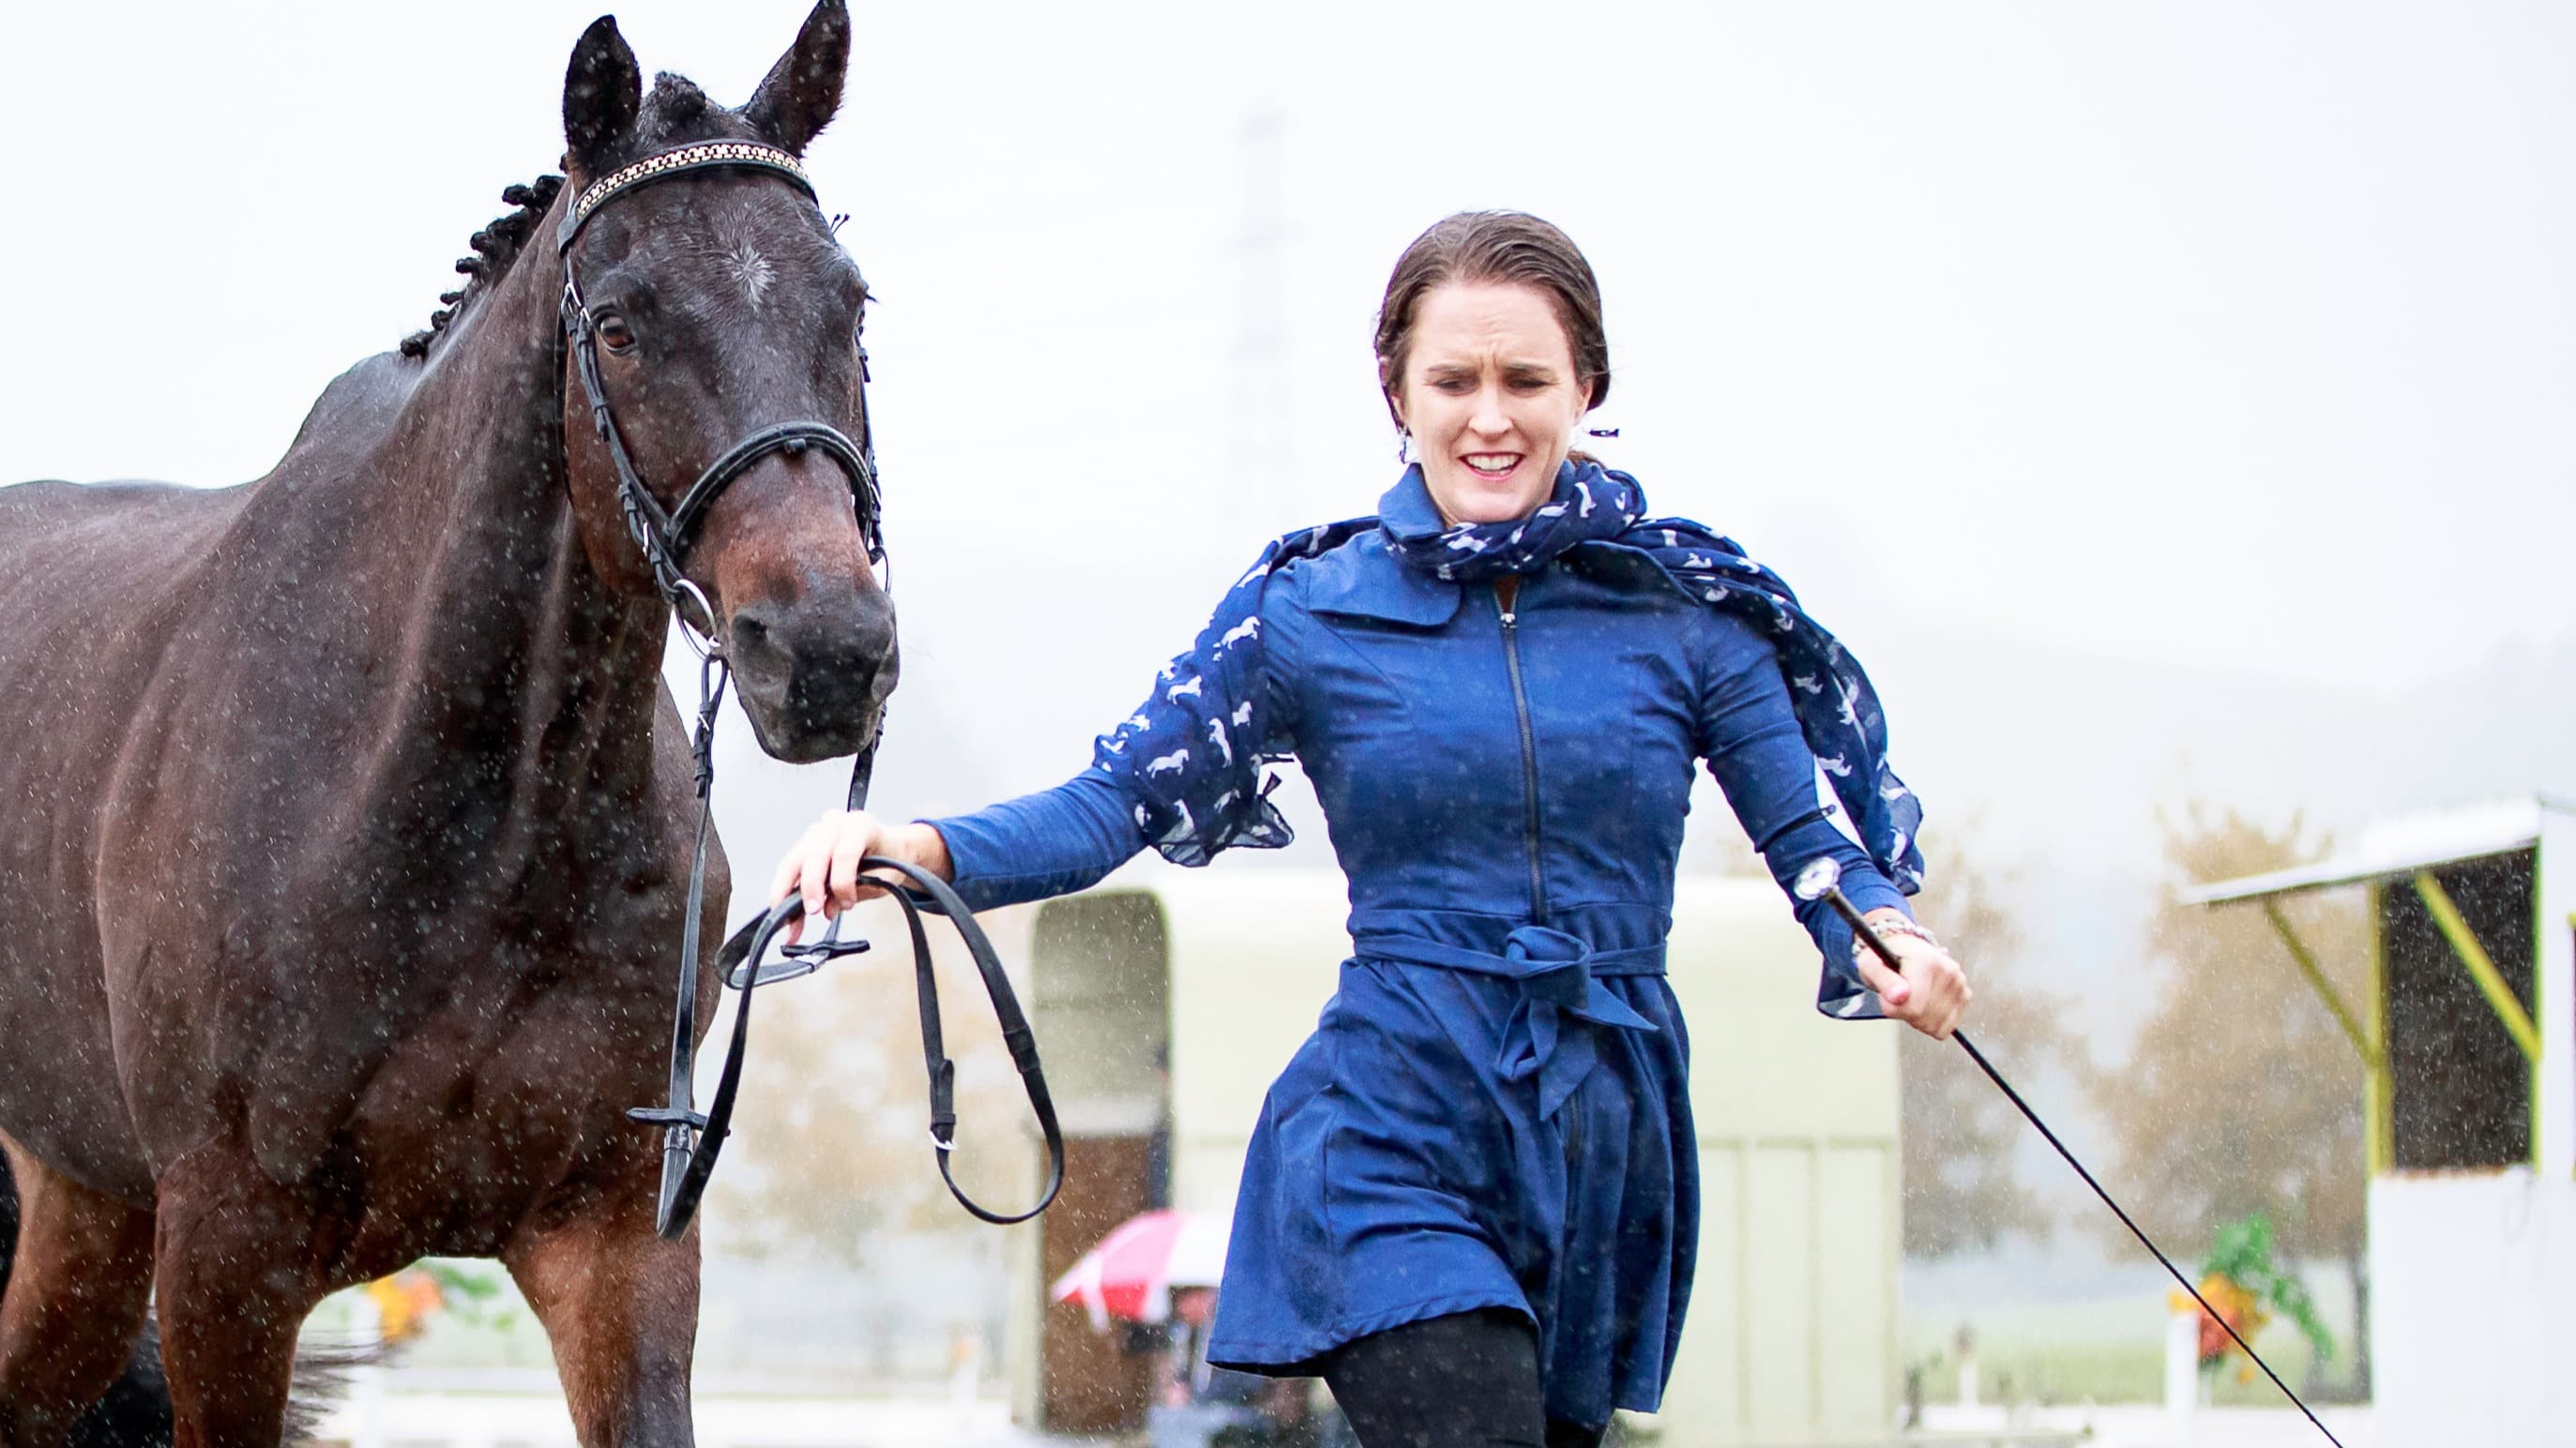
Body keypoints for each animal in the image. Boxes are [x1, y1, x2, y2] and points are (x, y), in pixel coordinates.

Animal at [0, 4, 892, 1442]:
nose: (823, 653)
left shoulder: (616, 1238)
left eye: (849, 301)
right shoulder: (226, 1259)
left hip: (84, 1205)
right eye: (622, 323)